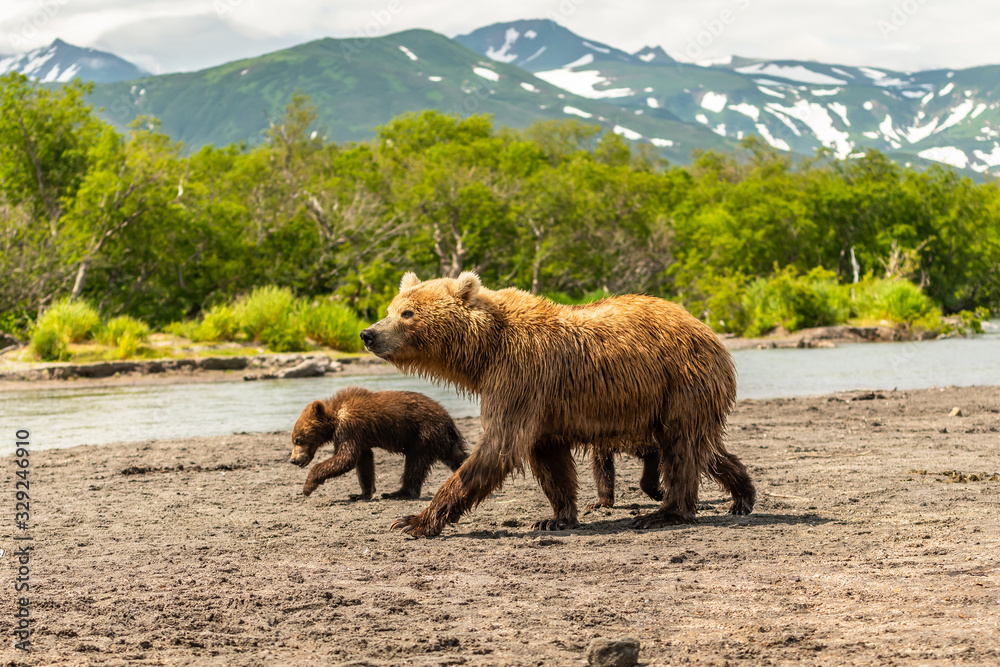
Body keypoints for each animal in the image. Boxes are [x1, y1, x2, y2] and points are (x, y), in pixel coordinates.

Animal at [289, 386, 469, 500]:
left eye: (298, 439)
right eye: (293, 440)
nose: (293, 460)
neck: (335, 416)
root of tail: (448, 420)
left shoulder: (349, 427)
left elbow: (345, 457)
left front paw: (307, 486)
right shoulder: (360, 437)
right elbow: (364, 462)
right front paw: (361, 494)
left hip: (424, 432)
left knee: (415, 463)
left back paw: (398, 493)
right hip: (445, 440)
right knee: (457, 457)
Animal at [359, 272, 755, 536]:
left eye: (408, 313)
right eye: (390, 308)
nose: (368, 333)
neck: (484, 351)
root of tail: (708, 330)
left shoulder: (520, 375)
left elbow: (498, 446)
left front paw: (413, 520)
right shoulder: (539, 402)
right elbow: (549, 459)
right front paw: (555, 517)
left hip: (680, 380)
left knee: (682, 447)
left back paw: (664, 513)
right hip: (670, 396)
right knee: (702, 447)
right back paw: (742, 495)